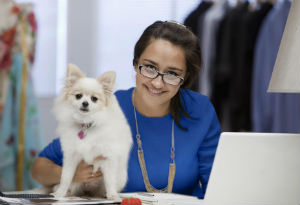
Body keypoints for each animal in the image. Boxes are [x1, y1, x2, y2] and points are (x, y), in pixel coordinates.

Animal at [52, 64, 132, 199]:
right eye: (78, 96)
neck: (86, 124)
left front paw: (112, 195)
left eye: (94, 99)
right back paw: (67, 192)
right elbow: (66, 177)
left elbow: (110, 180)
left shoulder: (107, 157)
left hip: (121, 178)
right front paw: (60, 193)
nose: (85, 103)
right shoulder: (71, 156)